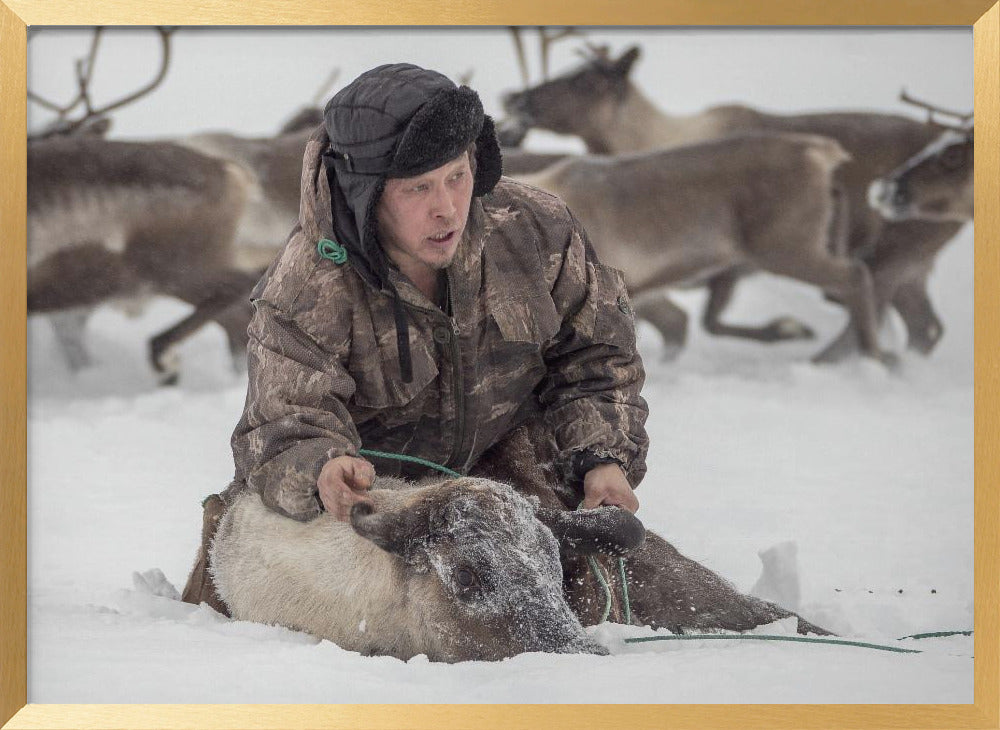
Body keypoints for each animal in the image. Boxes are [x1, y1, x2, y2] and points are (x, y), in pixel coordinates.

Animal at [500, 35, 971, 359]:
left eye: (586, 79)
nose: (514, 99)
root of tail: (825, 155)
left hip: (794, 246)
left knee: (861, 281)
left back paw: (862, 361)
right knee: (921, 324)